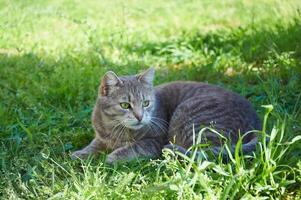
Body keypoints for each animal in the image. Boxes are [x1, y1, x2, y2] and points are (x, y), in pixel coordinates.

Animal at [71, 68, 260, 163]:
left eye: (146, 103)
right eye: (125, 105)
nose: (140, 117)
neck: (114, 129)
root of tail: (257, 123)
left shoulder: (154, 141)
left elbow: (133, 148)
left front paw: (112, 157)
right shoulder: (101, 137)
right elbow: (93, 145)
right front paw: (80, 153)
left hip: (189, 119)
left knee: (204, 154)